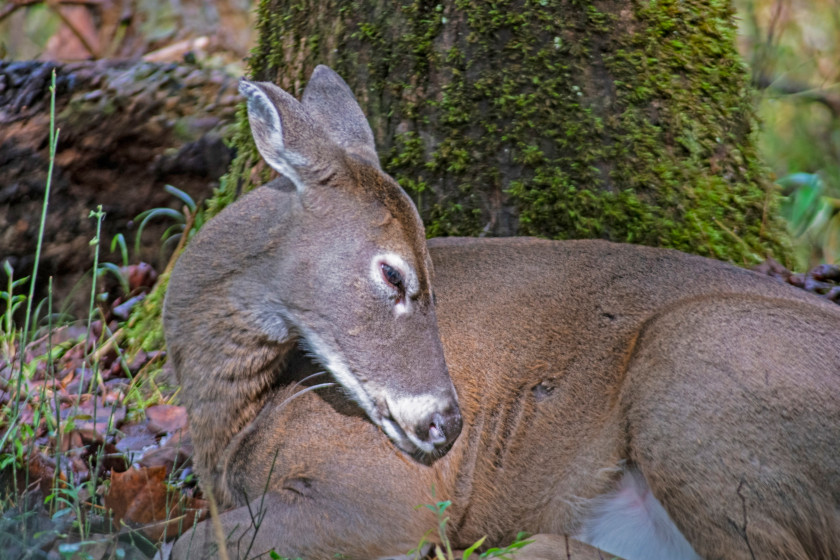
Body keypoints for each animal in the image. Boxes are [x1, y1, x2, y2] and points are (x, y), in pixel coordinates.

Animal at [163, 65, 840, 560]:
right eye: (393, 273)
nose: (447, 423)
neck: (236, 419)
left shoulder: (387, 492)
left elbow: (187, 543)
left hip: (694, 361)